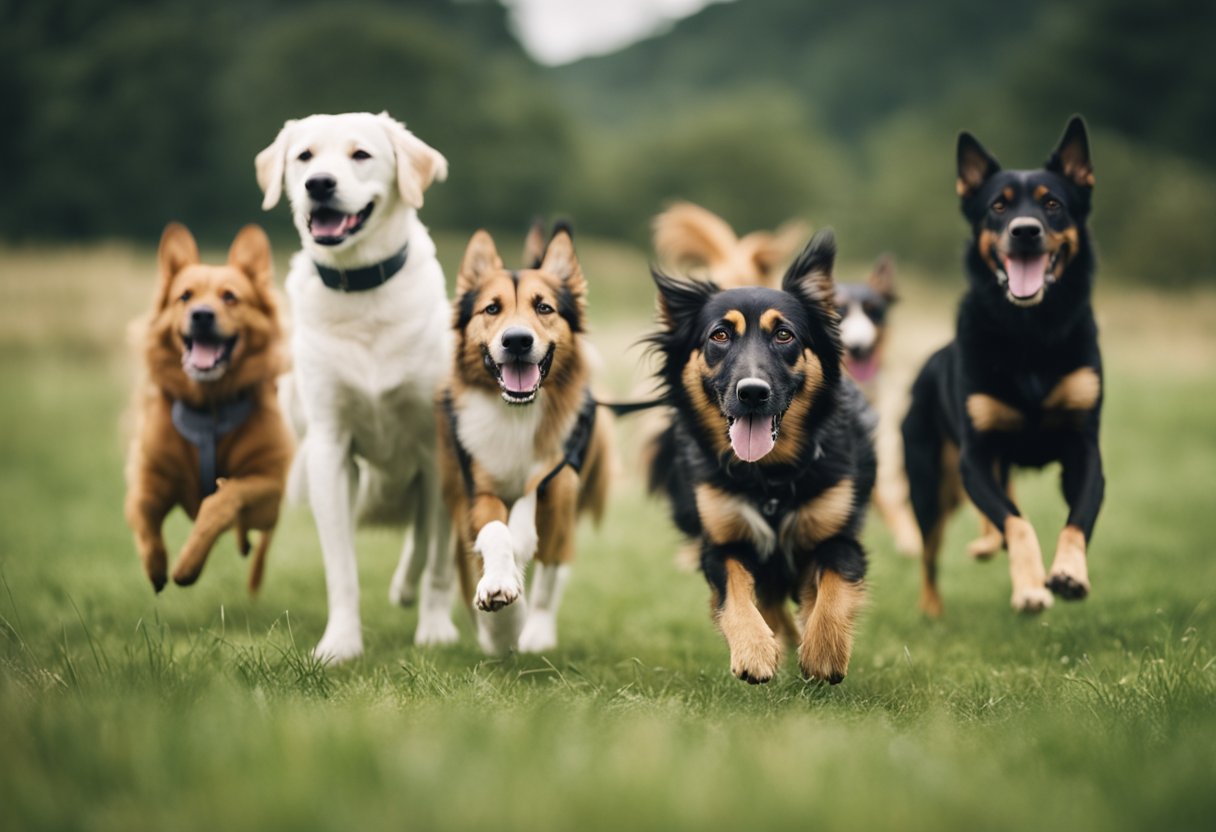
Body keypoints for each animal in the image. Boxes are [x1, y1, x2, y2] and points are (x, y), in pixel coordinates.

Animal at [124, 223, 291, 593]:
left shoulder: (271, 482)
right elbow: (142, 512)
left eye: (230, 296)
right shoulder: (147, 475)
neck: (209, 410)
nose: (201, 315)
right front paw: (155, 565)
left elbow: (223, 499)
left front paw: (187, 564)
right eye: (184, 296)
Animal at [256, 110, 459, 661]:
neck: (361, 288)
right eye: (304, 157)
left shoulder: (436, 445)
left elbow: (436, 557)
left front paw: (436, 631)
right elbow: (341, 567)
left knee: (426, 540)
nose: (318, 184)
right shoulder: (331, 446)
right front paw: (340, 643)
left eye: (361, 154)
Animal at [435, 221, 608, 656]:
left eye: (544, 307)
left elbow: (530, 520)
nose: (516, 340)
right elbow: (495, 531)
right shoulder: (476, 489)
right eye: (492, 309)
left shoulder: (559, 475)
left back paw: (536, 632)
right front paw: (498, 585)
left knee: (552, 573)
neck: (516, 412)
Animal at [646, 231, 875, 686]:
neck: (769, 477)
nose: (752, 392)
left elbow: (834, 586)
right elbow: (735, 592)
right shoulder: (722, 541)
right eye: (719, 336)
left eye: (784, 335)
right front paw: (755, 651)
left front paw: (824, 651)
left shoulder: (838, 535)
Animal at [899, 113, 1108, 613]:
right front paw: (1030, 585)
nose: (1025, 231)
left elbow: (1078, 516)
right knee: (931, 550)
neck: (1028, 331)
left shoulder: (1083, 446)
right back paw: (932, 608)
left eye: (1052, 203)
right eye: (998, 206)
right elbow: (1018, 523)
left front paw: (1069, 573)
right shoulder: (975, 457)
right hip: (929, 482)